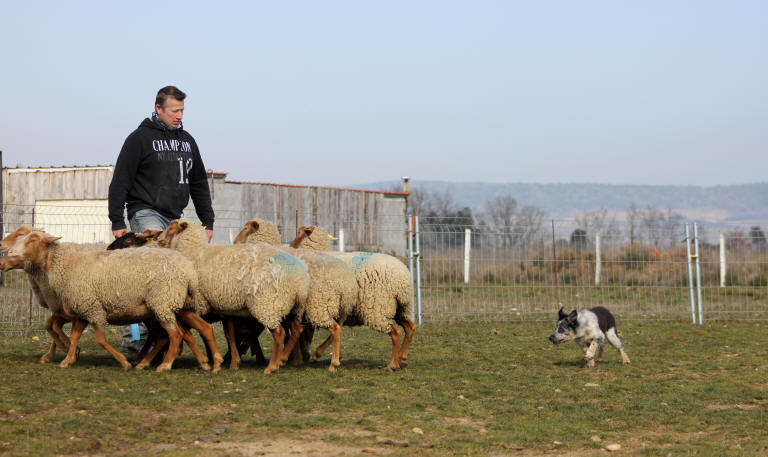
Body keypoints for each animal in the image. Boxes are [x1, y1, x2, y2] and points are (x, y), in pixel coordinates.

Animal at [4, 232, 218, 370]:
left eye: (32, 239)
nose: (9, 253)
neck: (65, 264)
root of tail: (188, 269)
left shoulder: (91, 307)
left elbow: (99, 338)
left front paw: (123, 362)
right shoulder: (82, 307)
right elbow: (74, 336)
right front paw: (68, 359)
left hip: (162, 303)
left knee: (175, 334)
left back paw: (164, 365)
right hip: (176, 304)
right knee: (197, 329)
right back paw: (208, 362)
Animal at [154, 219, 310, 372]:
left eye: (171, 228)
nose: (159, 240)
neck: (193, 252)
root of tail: (299, 281)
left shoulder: (193, 303)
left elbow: (199, 331)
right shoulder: (225, 307)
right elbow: (229, 335)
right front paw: (233, 362)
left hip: (266, 304)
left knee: (279, 334)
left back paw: (272, 366)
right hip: (285, 305)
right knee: (297, 329)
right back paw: (282, 358)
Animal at [234, 218, 356, 370]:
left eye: (245, 228)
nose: (235, 242)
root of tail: (345, 283)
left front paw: (289, 357)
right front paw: (298, 356)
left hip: (320, 308)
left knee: (334, 329)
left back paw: (331, 362)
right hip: (338, 310)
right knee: (336, 329)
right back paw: (322, 355)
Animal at [290, 224, 420, 370]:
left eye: (299, 232)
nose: (291, 245)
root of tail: (402, 278)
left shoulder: (320, 307)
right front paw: (317, 355)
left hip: (378, 309)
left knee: (396, 333)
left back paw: (392, 364)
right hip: (401, 307)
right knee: (410, 327)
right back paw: (401, 358)